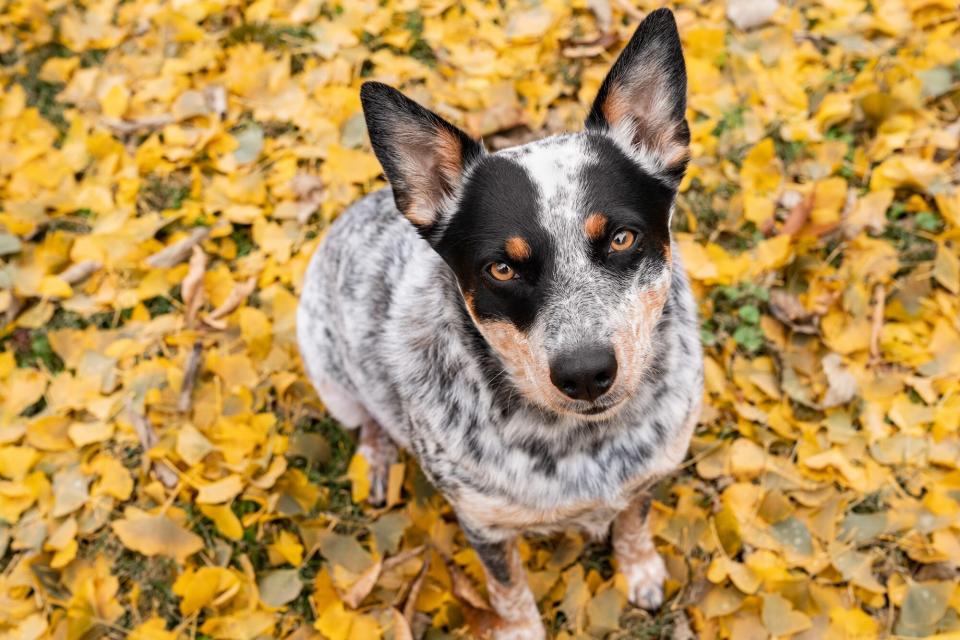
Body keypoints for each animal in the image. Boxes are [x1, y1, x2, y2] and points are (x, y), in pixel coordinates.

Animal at [300, 7, 704, 636]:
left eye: (621, 237)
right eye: (502, 268)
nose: (585, 373)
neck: (582, 446)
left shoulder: (649, 474)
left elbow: (634, 521)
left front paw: (638, 569)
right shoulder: (483, 524)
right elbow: (508, 588)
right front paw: (522, 627)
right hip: (328, 372)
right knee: (366, 417)